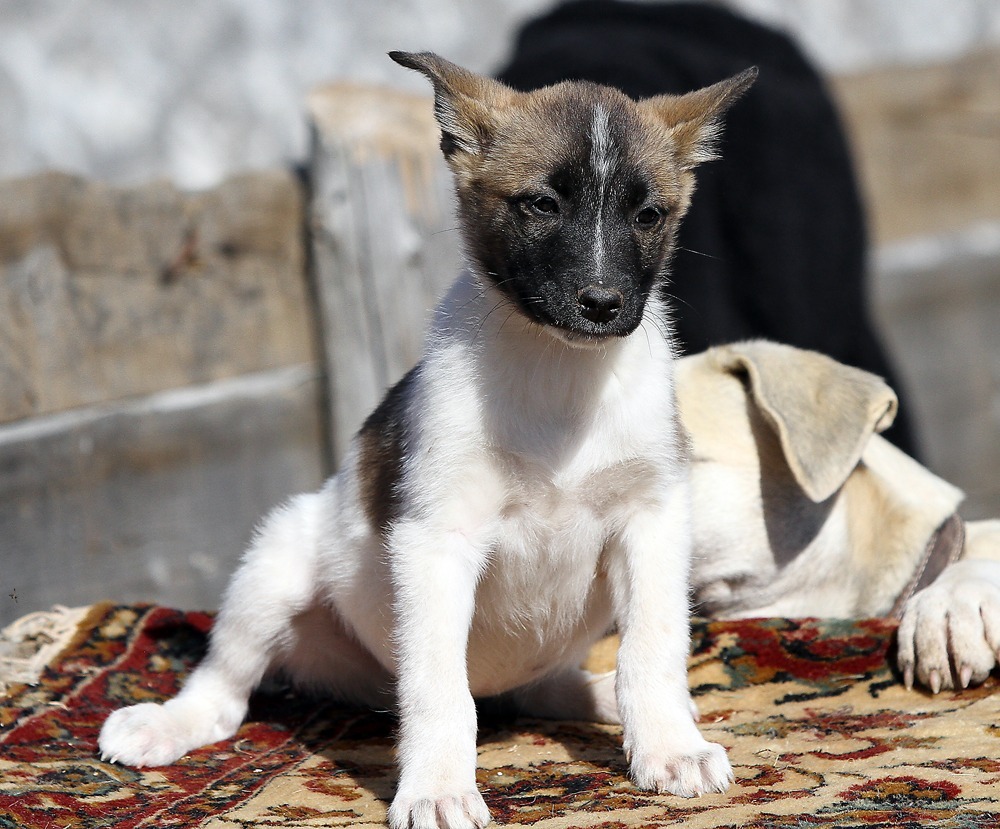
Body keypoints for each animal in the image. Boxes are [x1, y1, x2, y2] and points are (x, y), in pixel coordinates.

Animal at [99, 53, 756, 828]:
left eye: (649, 214)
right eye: (541, 205)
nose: (602, 304)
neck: (557, 371)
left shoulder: (651, 521)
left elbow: (650, 653)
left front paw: (668, 746)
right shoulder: (438, 539)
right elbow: (440, 689)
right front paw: (439, 788)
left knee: (547, 687)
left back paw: (607, 703)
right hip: (273, 568)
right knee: (226, 688)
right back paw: (166, 724)